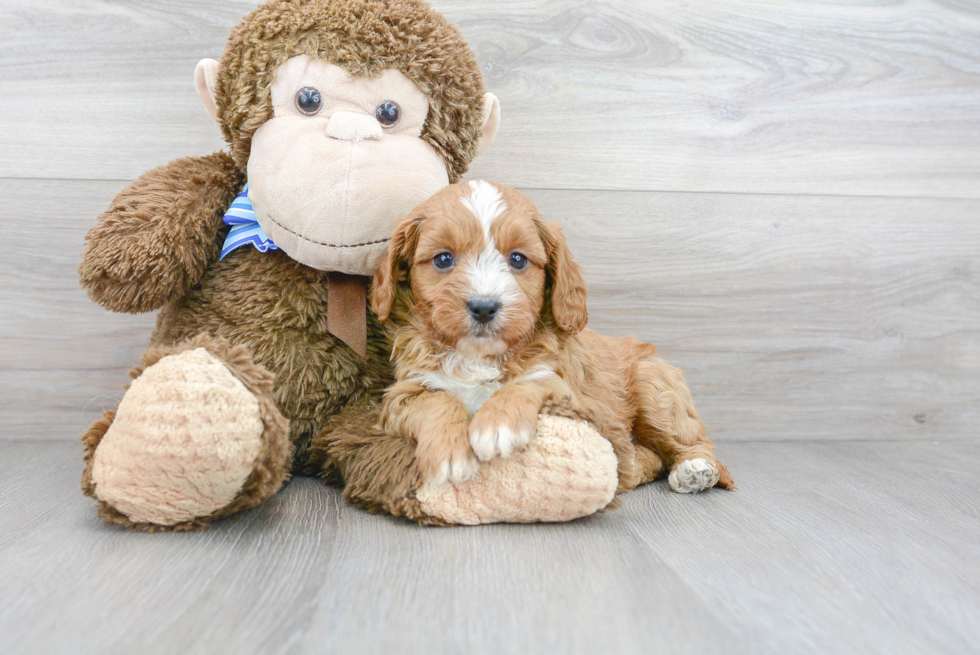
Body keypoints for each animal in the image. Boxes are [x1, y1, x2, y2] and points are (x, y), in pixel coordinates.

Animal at [372, 179, 732, 492]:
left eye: (518, 259)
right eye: (443, 259)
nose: (484, 307)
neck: (482, 355)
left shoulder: (572, 394)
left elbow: (531, 382)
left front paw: (497, 425)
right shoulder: (405, 391)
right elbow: (437, 399)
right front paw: (449, 454)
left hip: (654, 386)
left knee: (691, 441)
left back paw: (696, 469)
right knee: (651, 457)